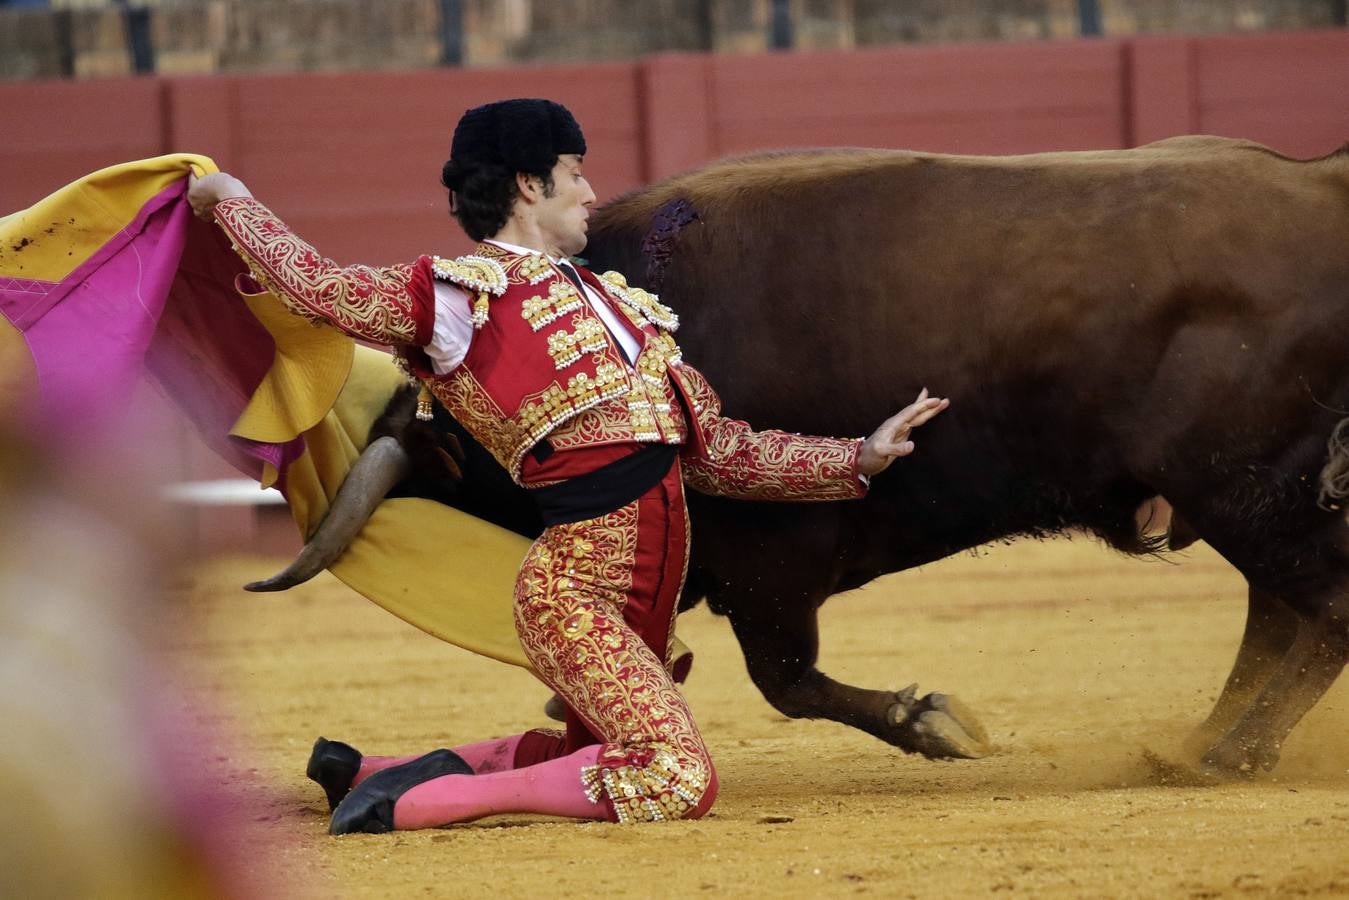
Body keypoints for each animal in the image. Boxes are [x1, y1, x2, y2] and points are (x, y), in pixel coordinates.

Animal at [268, 137, 1349, 777]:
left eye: (447, 452)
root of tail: (1318, 178)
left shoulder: (770, 567)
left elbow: (784, 679)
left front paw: (938, 724)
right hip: (1246, 491)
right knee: (1280, 614)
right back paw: (1204, 746)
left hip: (1246, 483)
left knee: (1319, 610)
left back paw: (1224, 755)